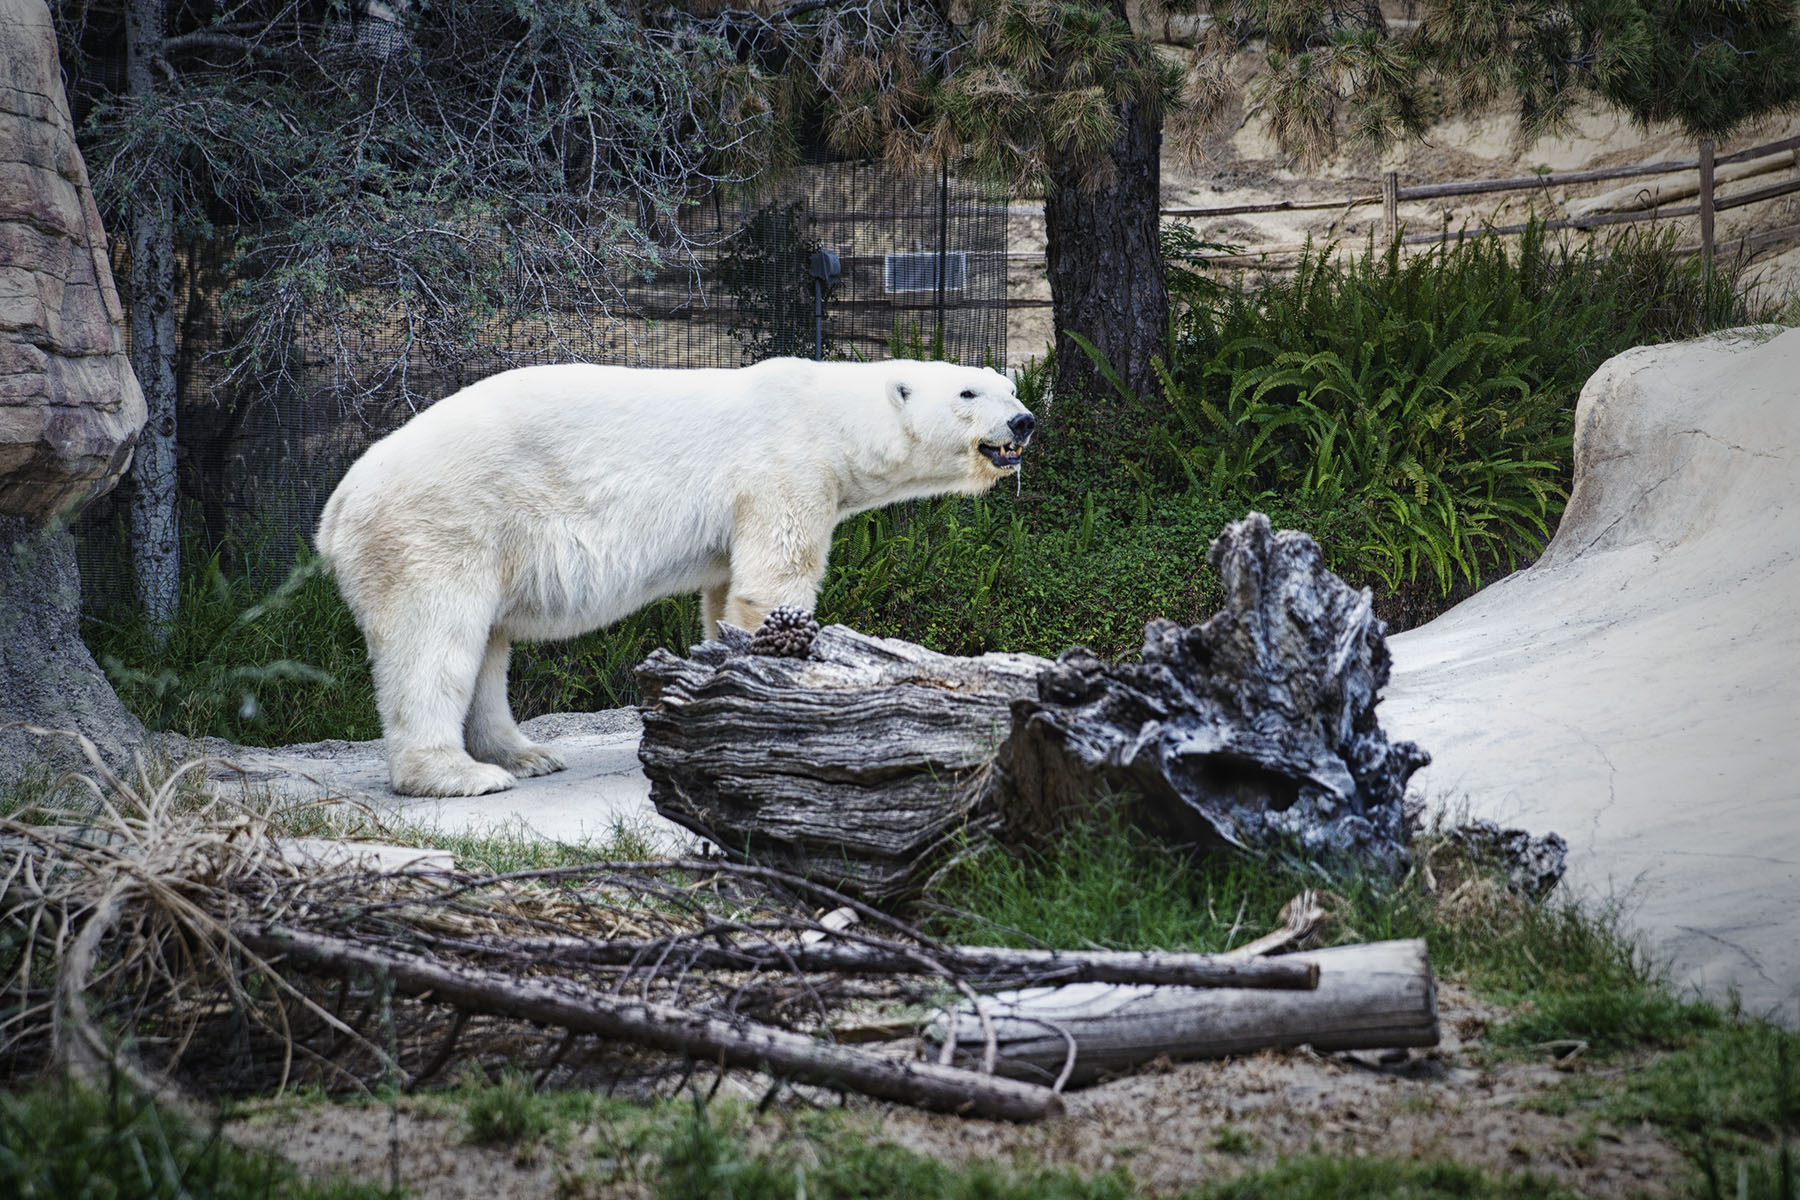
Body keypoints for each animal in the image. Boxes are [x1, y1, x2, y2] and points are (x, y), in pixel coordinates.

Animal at [316, 356, 1036, 798]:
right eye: (969, 393)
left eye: (1009, 386)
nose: (1024, 420)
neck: (826, 411)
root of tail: (336, 508)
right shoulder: (782, 468)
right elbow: (774, 580)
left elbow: (725, 594)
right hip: (441, 526)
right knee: (435, 641)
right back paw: (460, 774)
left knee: (488, 647)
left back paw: (526, 754)